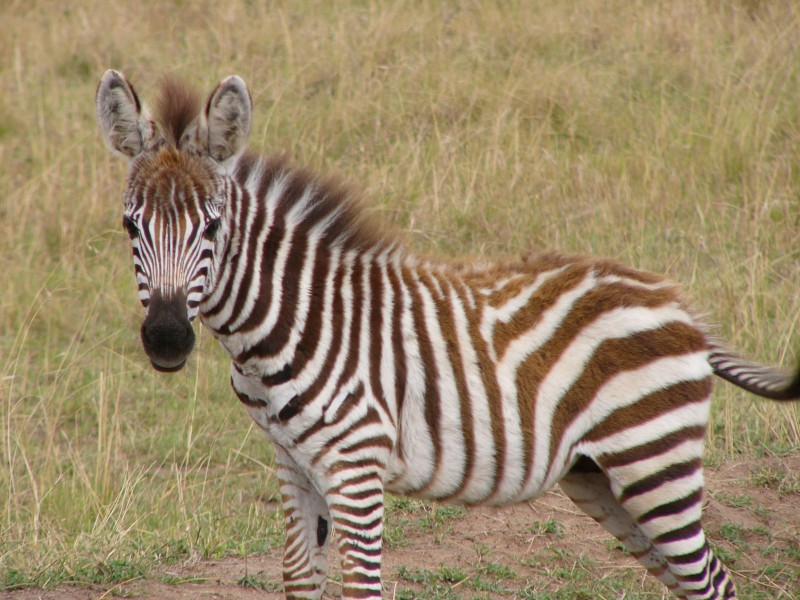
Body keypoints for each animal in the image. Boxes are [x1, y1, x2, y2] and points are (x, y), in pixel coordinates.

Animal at [97, 71, 796, 600]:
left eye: (211, 228)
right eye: (130, 227)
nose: (166, 341)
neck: (284, 328)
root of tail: (677, 302)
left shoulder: (356, 467)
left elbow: (363, 586)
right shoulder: (293, 464)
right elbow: (299, 579)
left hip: (654, 461)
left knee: (713, 582)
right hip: (603, 477)